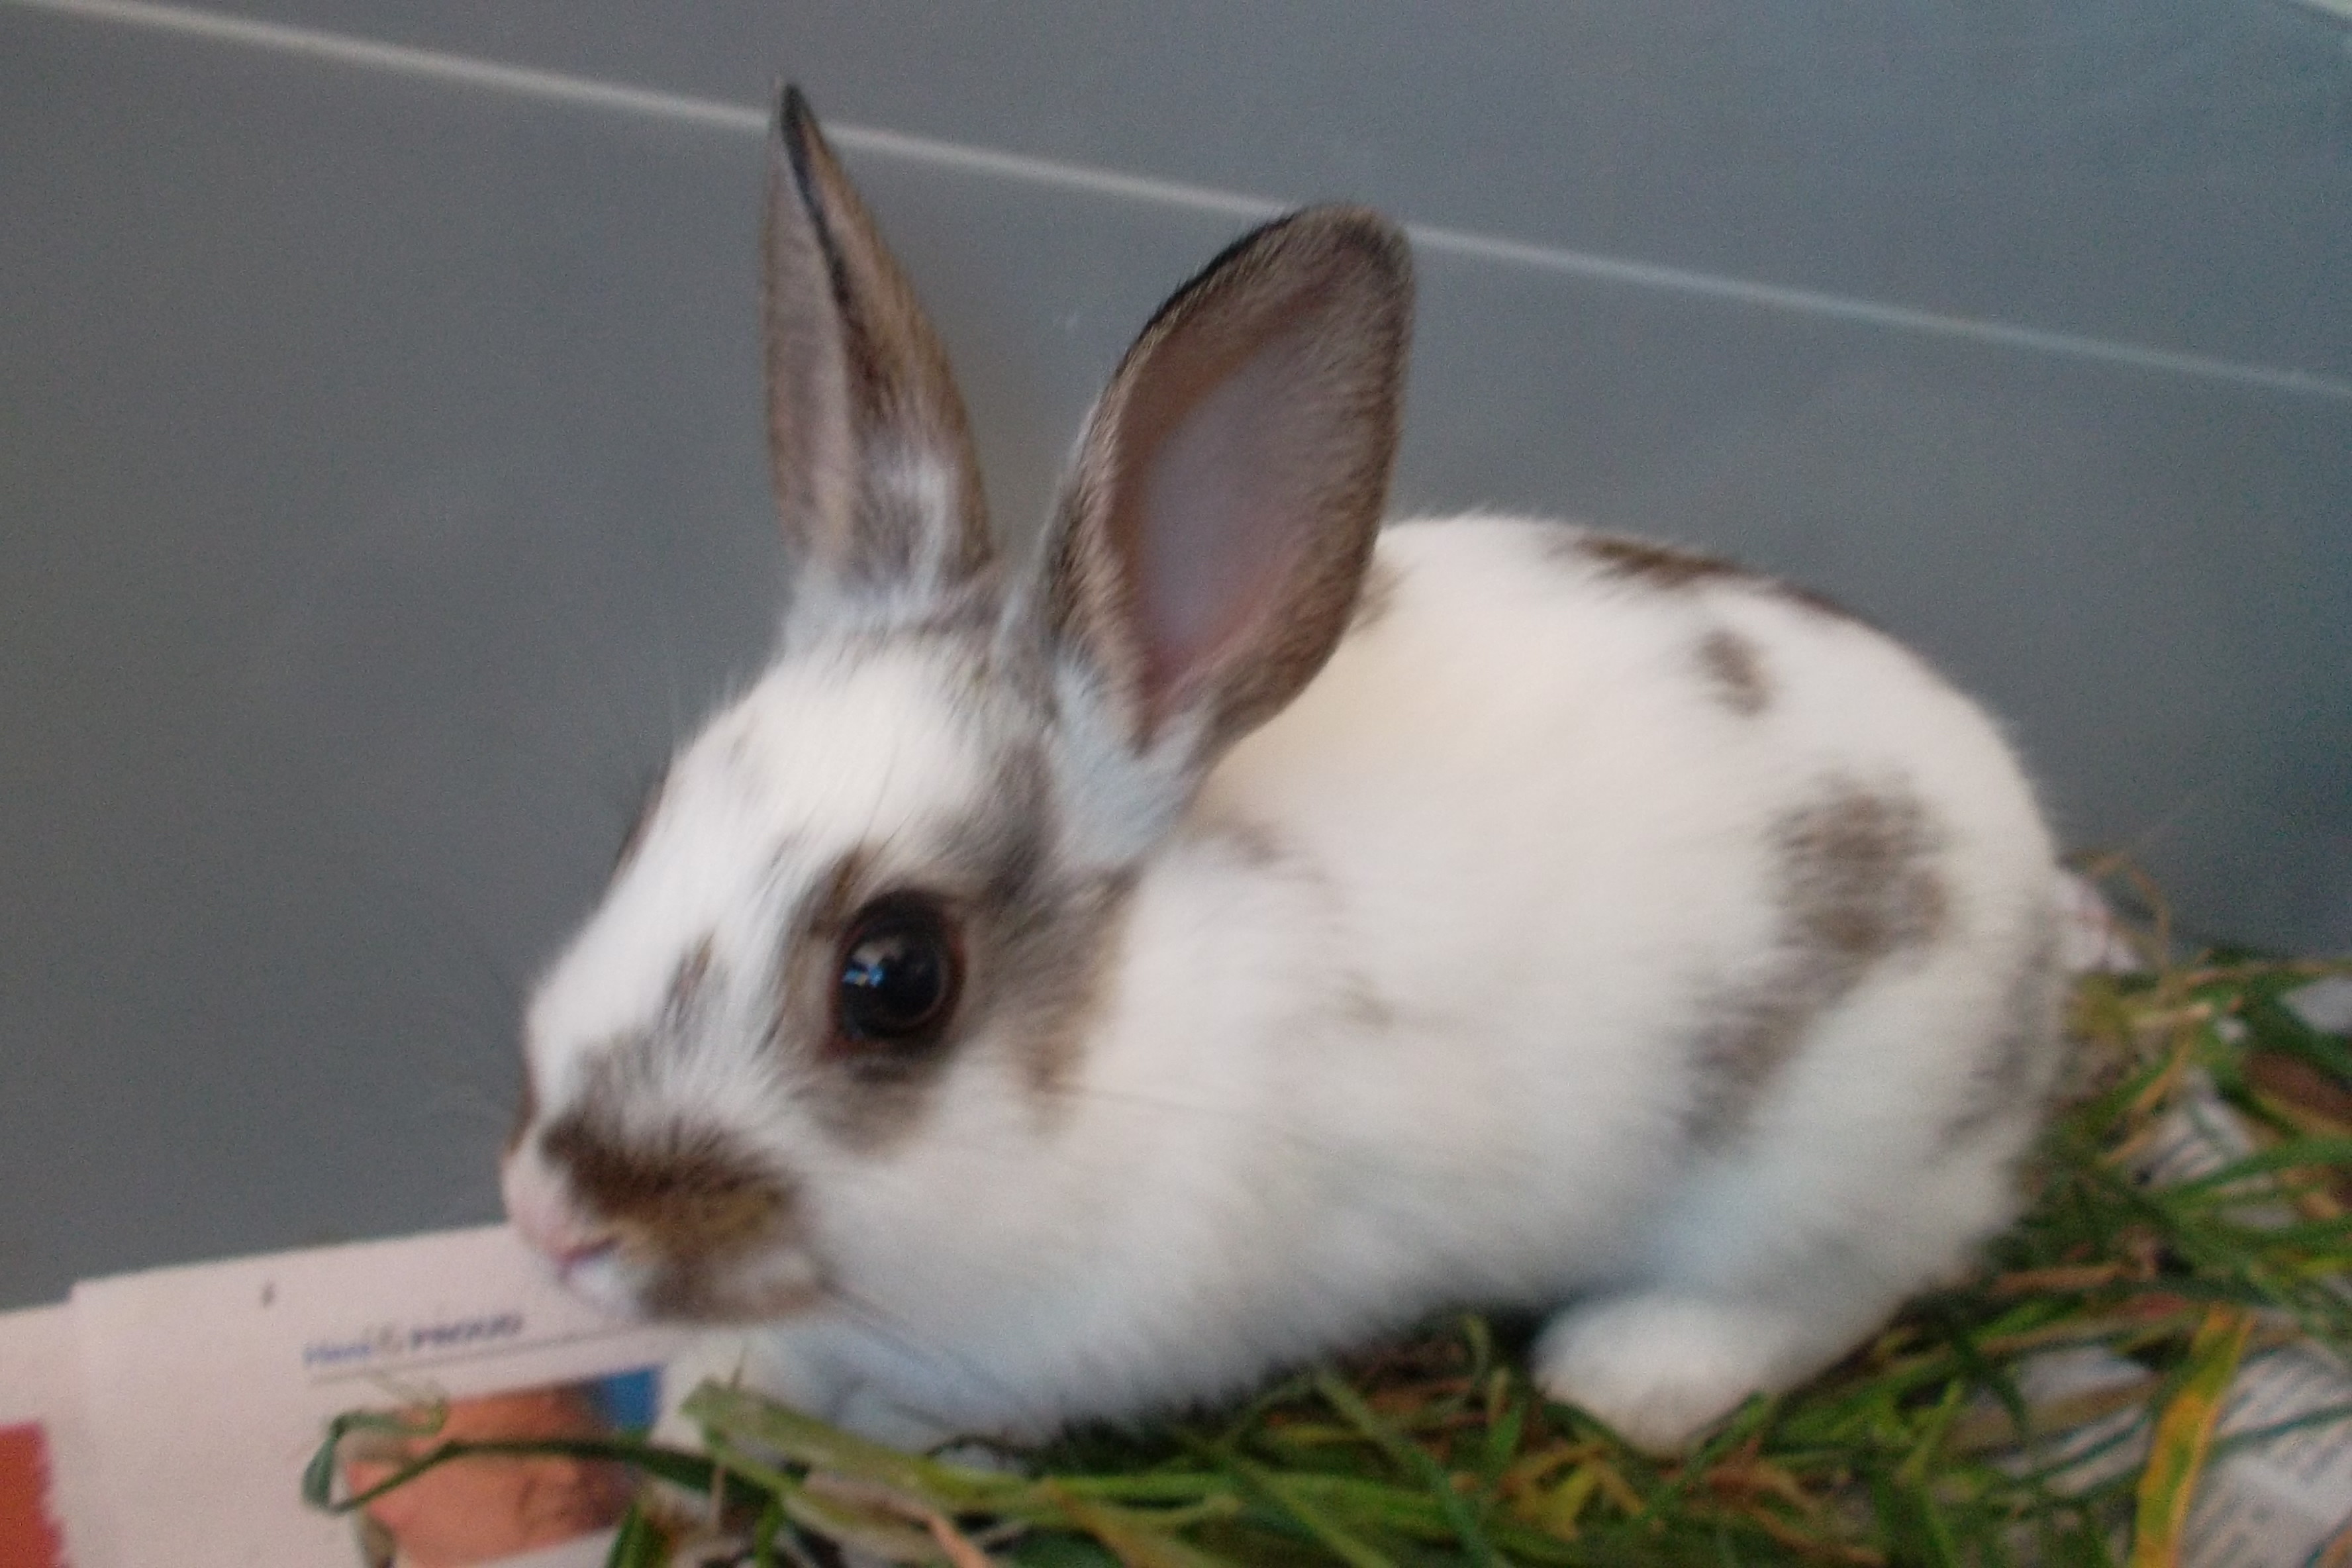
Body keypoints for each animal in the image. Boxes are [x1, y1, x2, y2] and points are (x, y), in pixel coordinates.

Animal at [499, 87, 2066, 1456]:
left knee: (1839, 1283)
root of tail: (2032, 868)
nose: (548, 1218)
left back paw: (1624, 1372)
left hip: (1817, 1172)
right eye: (644, 820)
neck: (1132, 1044)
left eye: (895, 978)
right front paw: (708, 1395)